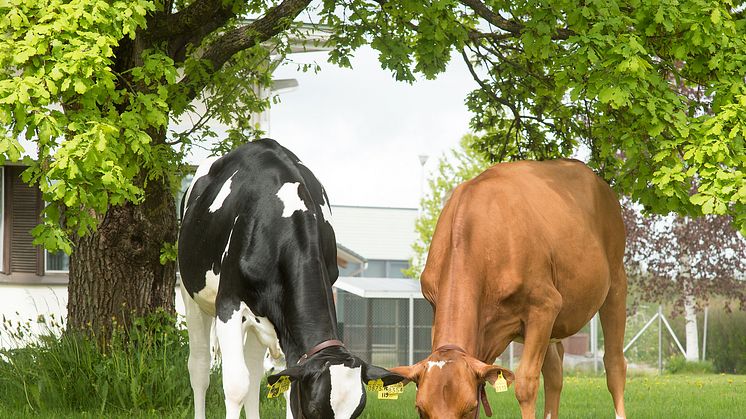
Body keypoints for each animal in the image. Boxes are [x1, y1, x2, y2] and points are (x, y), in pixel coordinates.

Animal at [178, 140, 402, 419]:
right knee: (200, 367)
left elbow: (284, 389)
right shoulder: (229, 304)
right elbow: (236, 386)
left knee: (255, 373)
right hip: (192, 295)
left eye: (357, 411)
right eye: (315, 410)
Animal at [392, 160, 624, 419]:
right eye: (420, 409)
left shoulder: (544, 305)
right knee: (555, 373)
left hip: (615, 282)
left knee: (614, 364)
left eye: (469, 406)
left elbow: (525, 384)